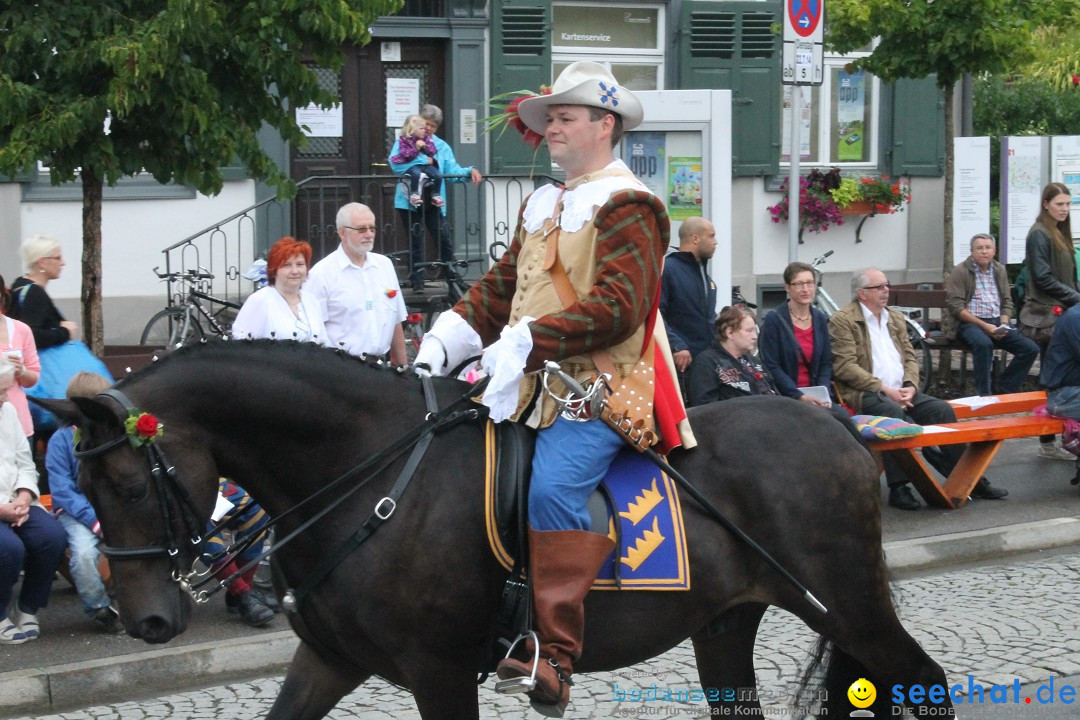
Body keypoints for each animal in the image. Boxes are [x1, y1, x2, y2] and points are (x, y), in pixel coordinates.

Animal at [39, 341, 954, 716]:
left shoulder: (440, 673)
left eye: (129, 481)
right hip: (726, 626)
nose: (147, 620)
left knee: (927, 681)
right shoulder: (330, 659)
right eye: (80, 487)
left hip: (848, 607)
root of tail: (839, 425)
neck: (371, 477)